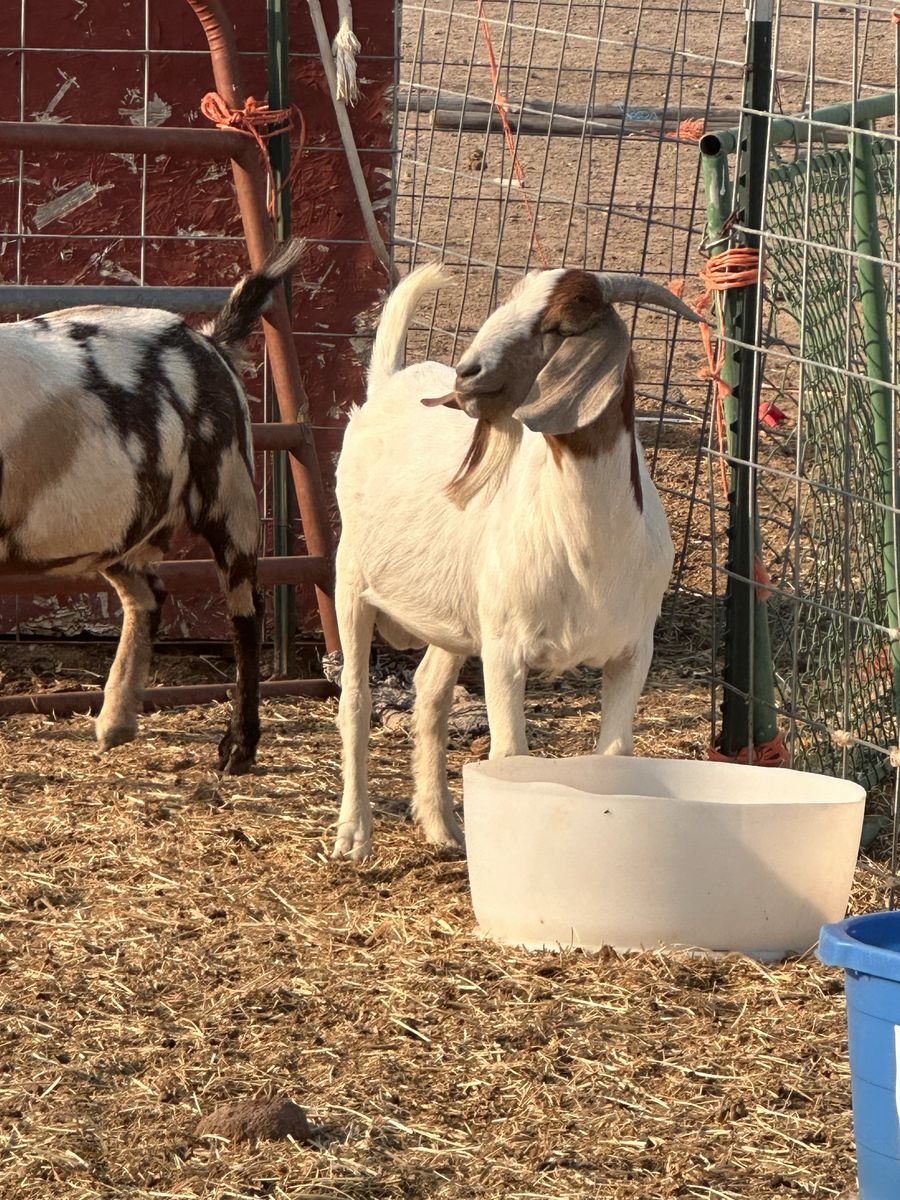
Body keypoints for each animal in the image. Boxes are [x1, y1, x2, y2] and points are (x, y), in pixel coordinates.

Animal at [0, 239, 306, 773]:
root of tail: (211, 340)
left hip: (229, 489)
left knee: (247, 611)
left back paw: (237, 749)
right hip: (127, 519)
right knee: (147, 597)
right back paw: (115, 725)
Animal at [333, 264, 701, 857]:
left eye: (560, 324)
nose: (467, 374)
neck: (591, 551)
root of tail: (386, 384)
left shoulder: (634, 650)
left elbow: (615, 756)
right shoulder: (506, 647)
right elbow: (510, 757)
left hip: (456, 615)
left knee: (430, 692)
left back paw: (442, 825)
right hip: (351, 580)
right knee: (355, 699)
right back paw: (354, 832)